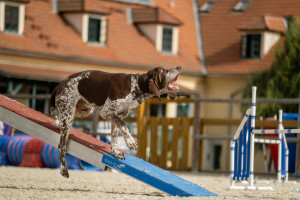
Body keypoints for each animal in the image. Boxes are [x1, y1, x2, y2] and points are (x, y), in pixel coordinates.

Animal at [49, 66, 182, 178]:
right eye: (164, 70)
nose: (179, 67)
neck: (137, 86)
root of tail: (60, 84)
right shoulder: (106, 111)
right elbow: (124, 126)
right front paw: (130, 142)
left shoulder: (116, 116)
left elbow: (115, 137)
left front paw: (116, 152)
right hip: (69, 114)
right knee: (61, 146)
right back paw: (63, 170)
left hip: (82, 111)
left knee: (58, 116)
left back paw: (57, 124)